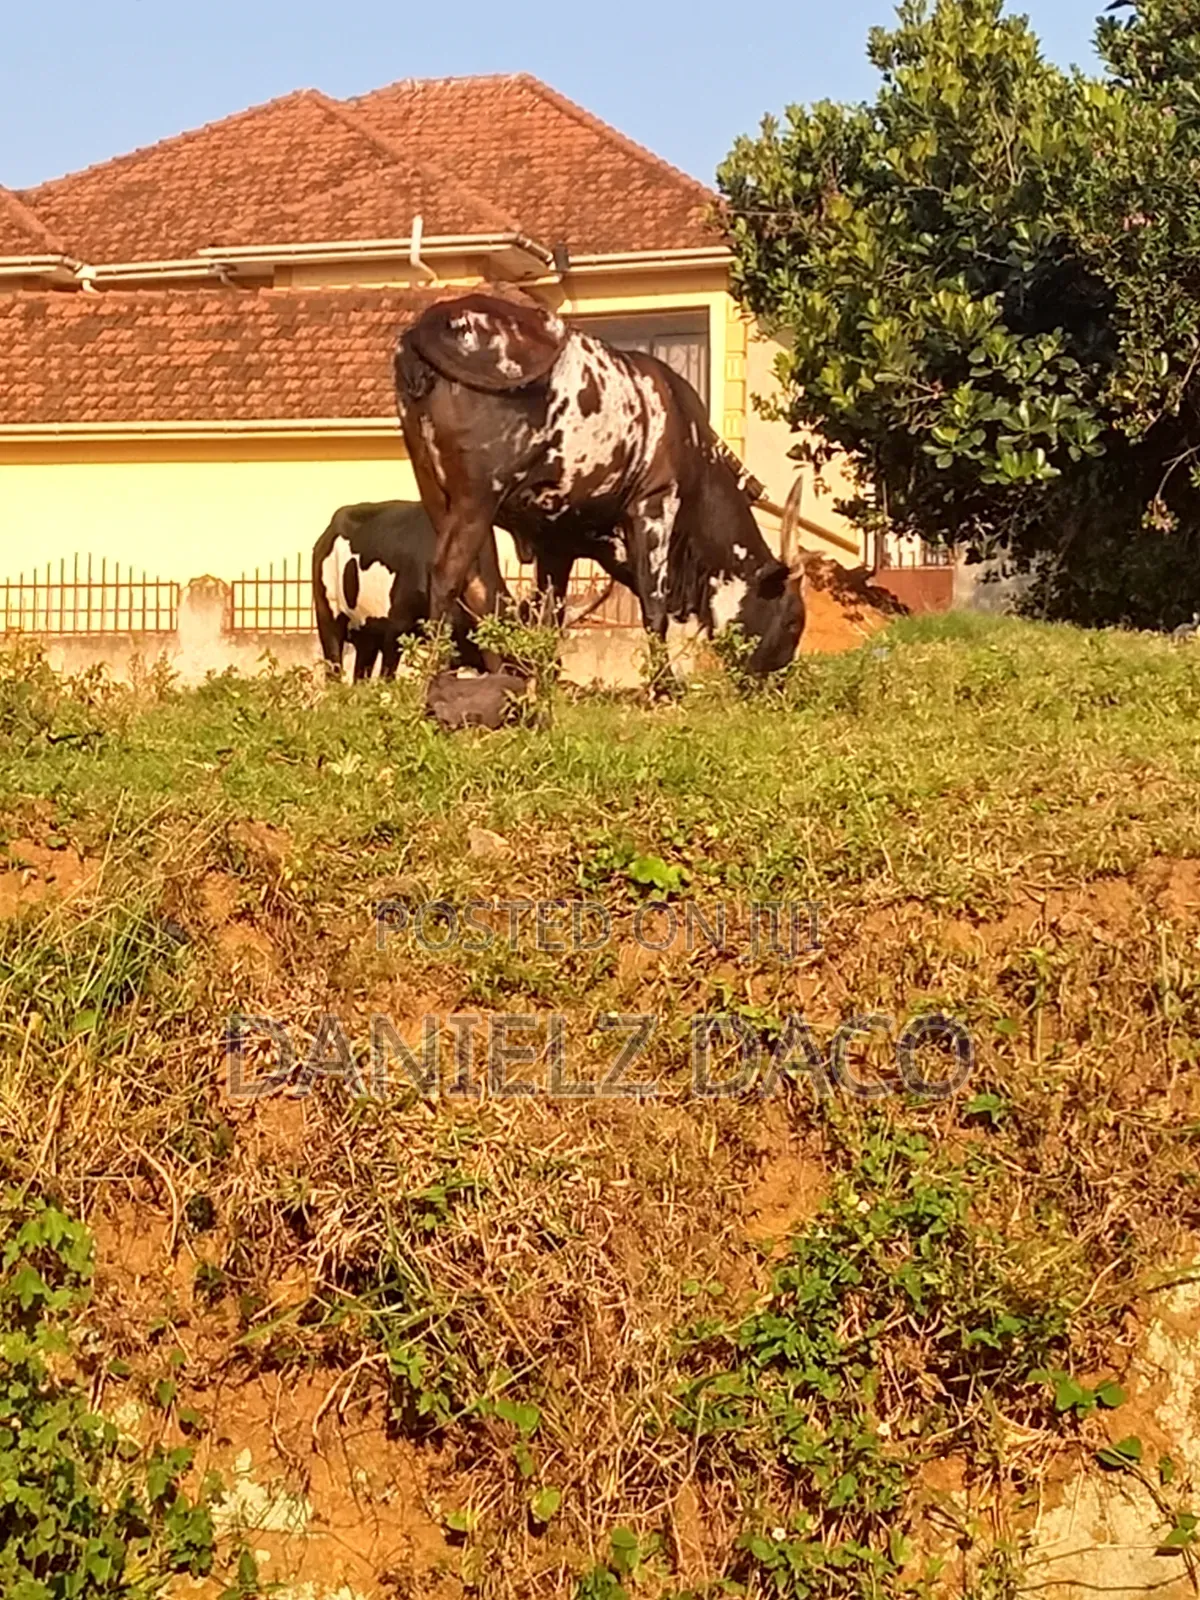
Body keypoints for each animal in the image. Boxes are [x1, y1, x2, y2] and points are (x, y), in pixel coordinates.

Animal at [392, 292, 806, 679]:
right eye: (793, 622)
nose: (776, 678)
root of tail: (435, 319)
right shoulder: (654, 506)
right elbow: (653, 605)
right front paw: (663, 685)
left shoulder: (558, 544)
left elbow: (550, 618)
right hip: (477, 497)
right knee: (448, 576)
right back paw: (435, 673)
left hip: (437, 493)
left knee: (481, 587)